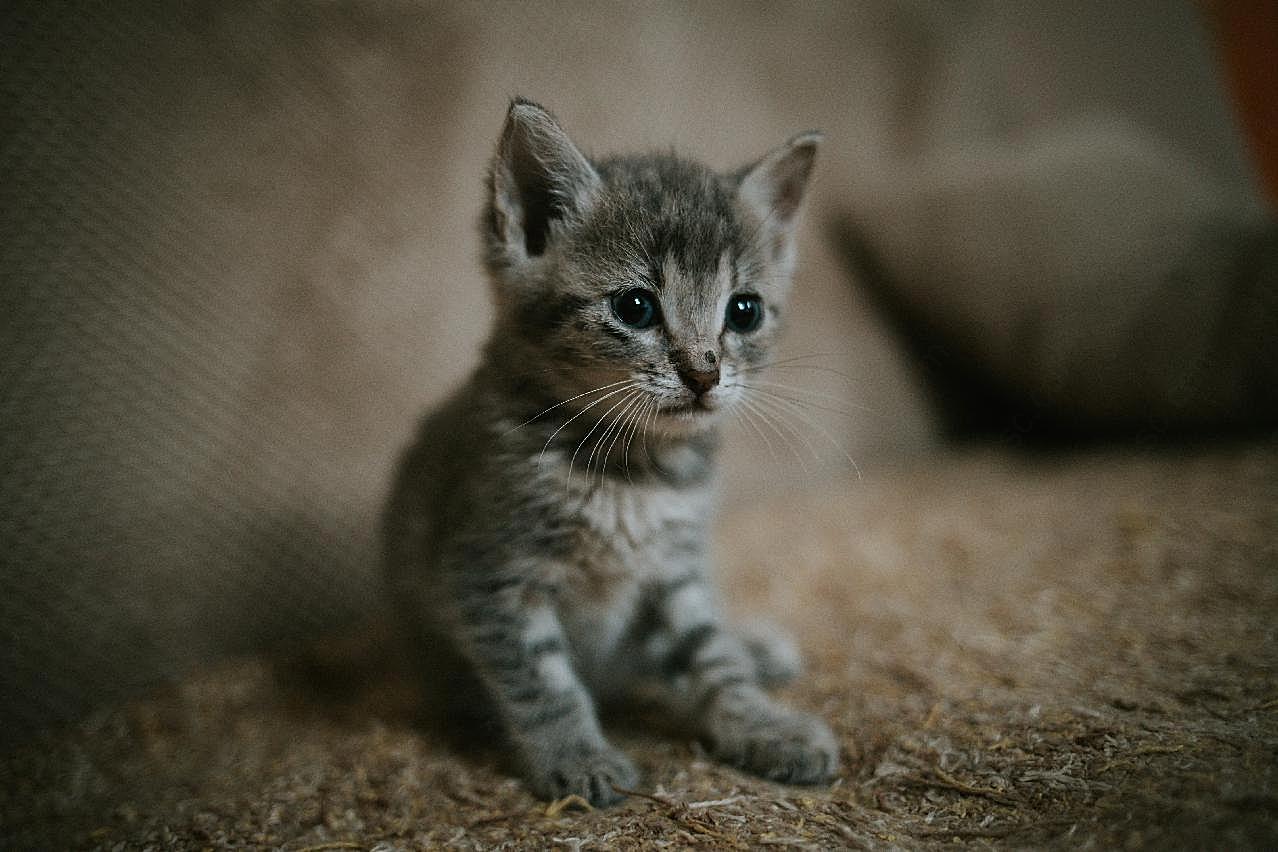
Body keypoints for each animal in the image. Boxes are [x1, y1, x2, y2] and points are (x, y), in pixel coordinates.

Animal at [378, 100, 838, 807]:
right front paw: (576, 755)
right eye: (636, 306)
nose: (704, 372)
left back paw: (755, 647)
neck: (629, 473)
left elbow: (712, 654)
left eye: (744, 310)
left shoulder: (674, 567)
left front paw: (760, 724)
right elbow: (541, 680)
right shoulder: (489, 571)